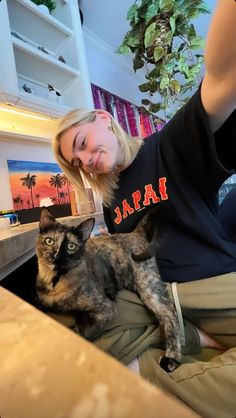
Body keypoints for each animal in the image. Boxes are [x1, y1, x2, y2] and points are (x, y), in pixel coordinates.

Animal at [36, 207, 182, 372]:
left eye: (71, 246)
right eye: (49, 241)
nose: (56, 255)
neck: (55, 282)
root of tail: (134, 233)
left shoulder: (104, 309)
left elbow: (79, 329)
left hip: (148, 286)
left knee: (169, 312)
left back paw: (172, 358)